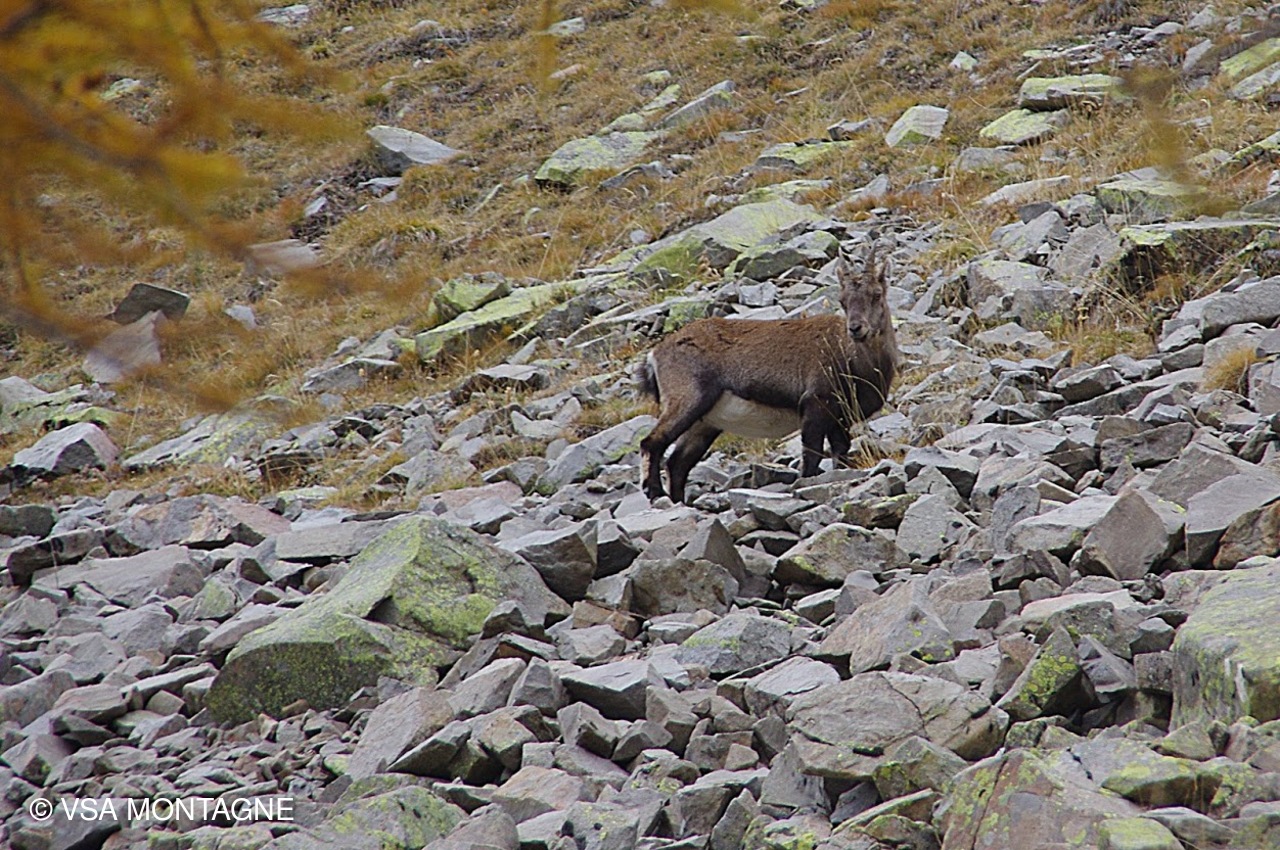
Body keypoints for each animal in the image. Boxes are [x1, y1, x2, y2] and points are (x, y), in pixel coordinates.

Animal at [636, 249, 898, 504]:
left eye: (876, 295)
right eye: (842, 301)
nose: (855, 328)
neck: (854, 357)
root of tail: (654, 354)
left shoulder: (839, 419)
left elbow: (840, 454)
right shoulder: (815, 405)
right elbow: (811, 456)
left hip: (705, 422)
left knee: (677, 463)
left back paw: (678, 501)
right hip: (688, 398)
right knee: (652, 443)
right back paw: (656, 493)